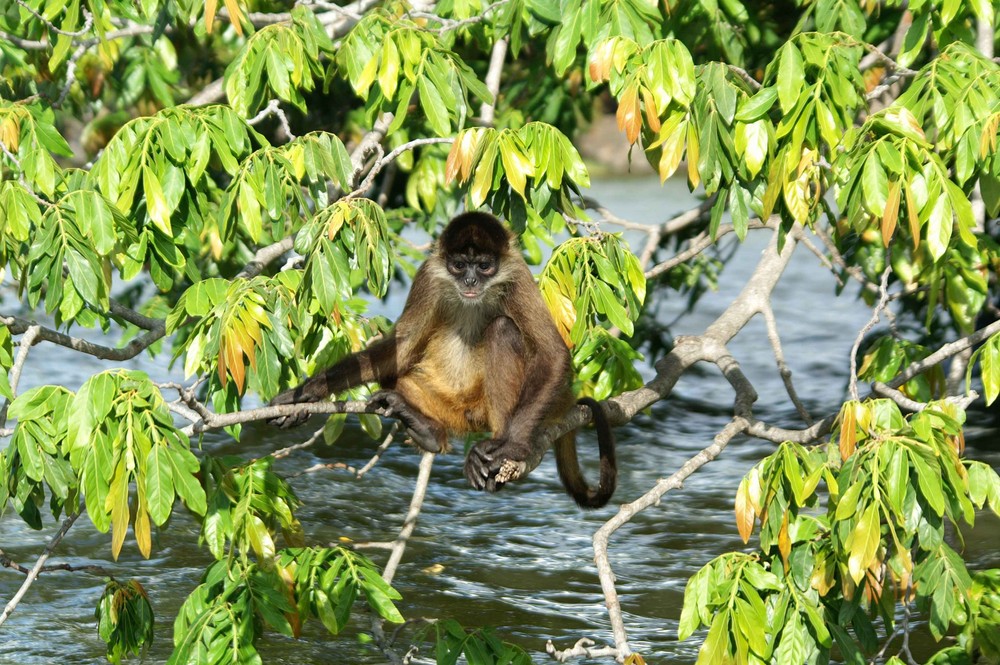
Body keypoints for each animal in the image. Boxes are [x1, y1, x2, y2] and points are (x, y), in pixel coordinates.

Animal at [272, 213, 616, 508]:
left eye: (484, 266)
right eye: (460, 265)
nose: (470, 281)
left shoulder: (516, 274)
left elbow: (552, 353)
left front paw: (513, 447)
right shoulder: (429, 274)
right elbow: (401, 351)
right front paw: (308, 392)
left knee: (503, 329)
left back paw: (499, 445)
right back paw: (427, 430)